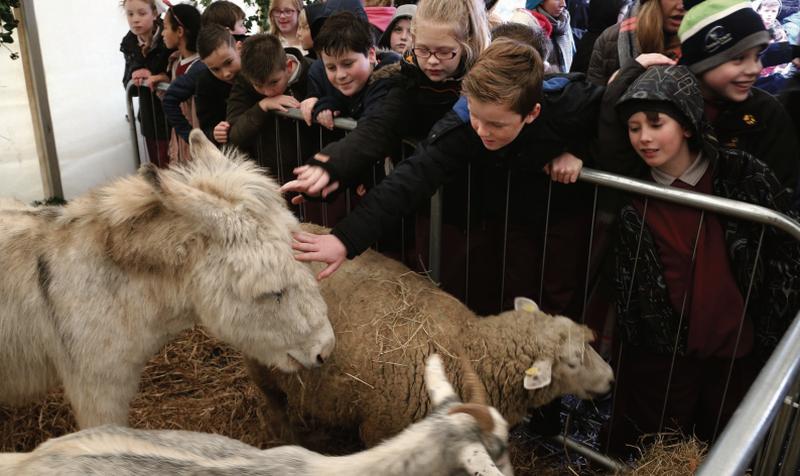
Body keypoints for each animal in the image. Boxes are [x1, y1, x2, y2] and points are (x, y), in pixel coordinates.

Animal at [247, 237, 616, 446]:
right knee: (275, 403)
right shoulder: (382, 429)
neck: (471, 350)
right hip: (262, 365)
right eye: (571, 362)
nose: (612, 380)